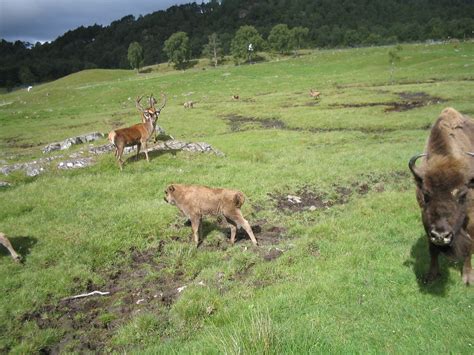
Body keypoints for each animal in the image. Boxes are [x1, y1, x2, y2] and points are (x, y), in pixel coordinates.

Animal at [410, 107, 472, 286]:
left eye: (462, 195)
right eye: (426, 195)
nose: (440, 236)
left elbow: (469, 245)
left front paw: (468, 278)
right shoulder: (425, 217)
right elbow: (432, 249)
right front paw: (431, 275)